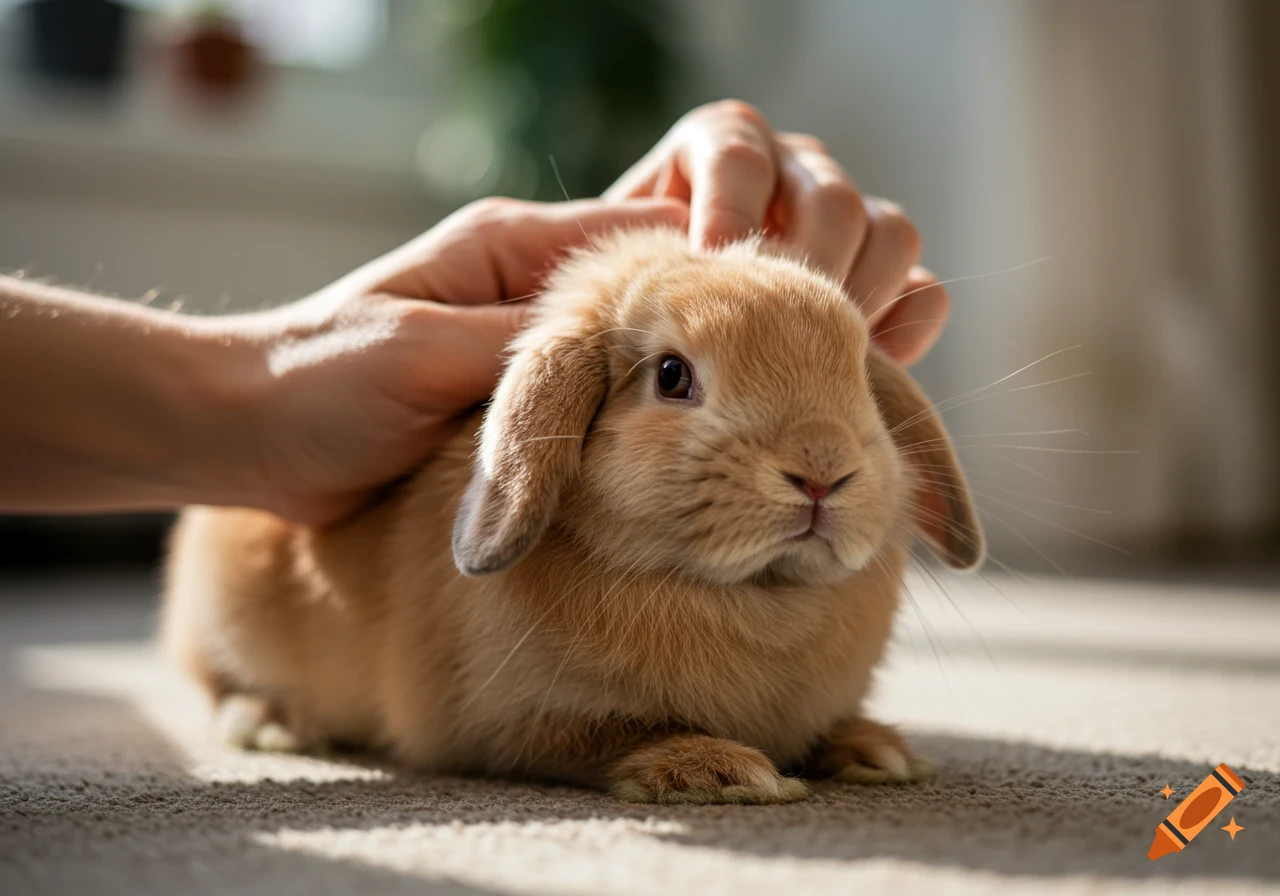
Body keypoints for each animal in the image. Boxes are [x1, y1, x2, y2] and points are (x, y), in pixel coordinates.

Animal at [162, 227, 984, 804]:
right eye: (672, 376)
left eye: (858, 380)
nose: (822, 472)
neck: (757, 596)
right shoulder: (508, 723)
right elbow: (603, 736)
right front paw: (720, 772)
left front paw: (878, 751)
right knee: (216, 681)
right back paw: (274, 723)